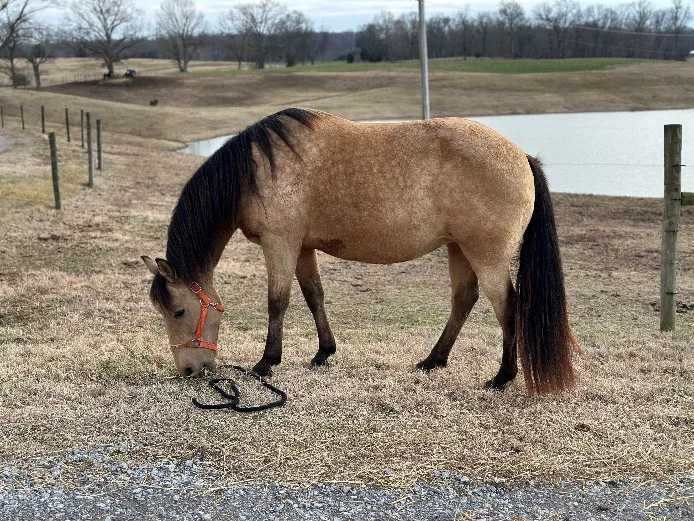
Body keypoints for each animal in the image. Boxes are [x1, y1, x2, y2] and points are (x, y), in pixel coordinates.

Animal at [142, 108, 576, 395]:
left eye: (179, 311)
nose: (189, 371)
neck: (256, 170)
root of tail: (522, 157)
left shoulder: (280, 243)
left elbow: (277, 301)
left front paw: (266, 363)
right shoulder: (302, 247)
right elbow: (313, 295)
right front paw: (323, 353)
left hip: (486, 254)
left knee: (507, 307)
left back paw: (502, 377)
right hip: (459, 249)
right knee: (464, 300)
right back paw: (433, 360)